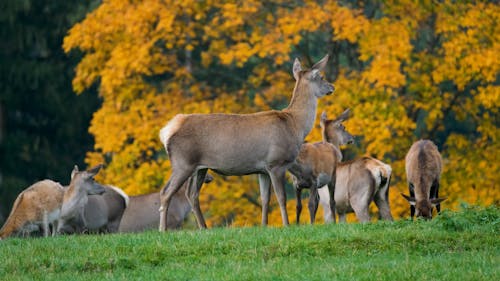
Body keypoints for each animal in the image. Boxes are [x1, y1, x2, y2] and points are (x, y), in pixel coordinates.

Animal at [158, 54, 334, 230]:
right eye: (321, 77)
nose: (332, 87)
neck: (295, 125)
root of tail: (167, 130)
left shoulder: (263, 169)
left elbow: (265, 199)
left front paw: (264, 226)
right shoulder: (276, 163)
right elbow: (281, 198)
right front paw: (286, 225)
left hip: (199, 167)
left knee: (192, 194)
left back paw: (204, 228)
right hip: (183, 162)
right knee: (166, 193)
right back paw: (163, 230)